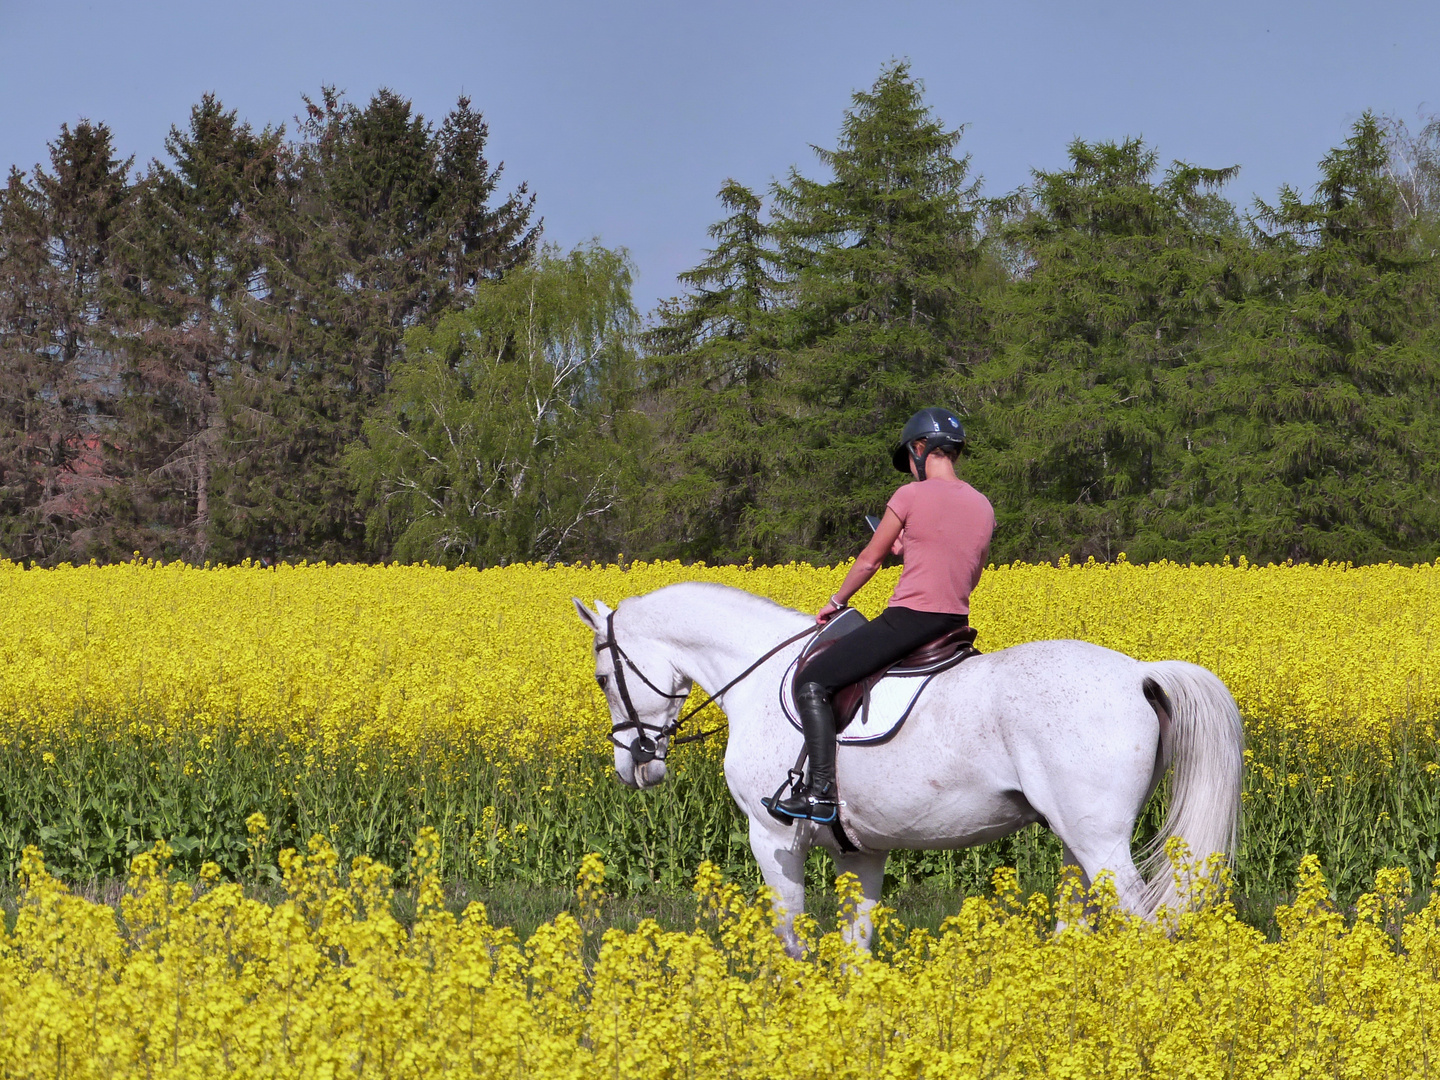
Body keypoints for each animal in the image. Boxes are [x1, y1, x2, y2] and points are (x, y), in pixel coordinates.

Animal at [567, 584, 1244, 956]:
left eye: (602, 678)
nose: (634, 766)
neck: (757, 677)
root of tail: (1138, 672)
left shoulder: (772, 836)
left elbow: (789, 930)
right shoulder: (861, 850)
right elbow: (854, 945)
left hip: (1100, 841)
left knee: (1146, 923)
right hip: (1078, 841)